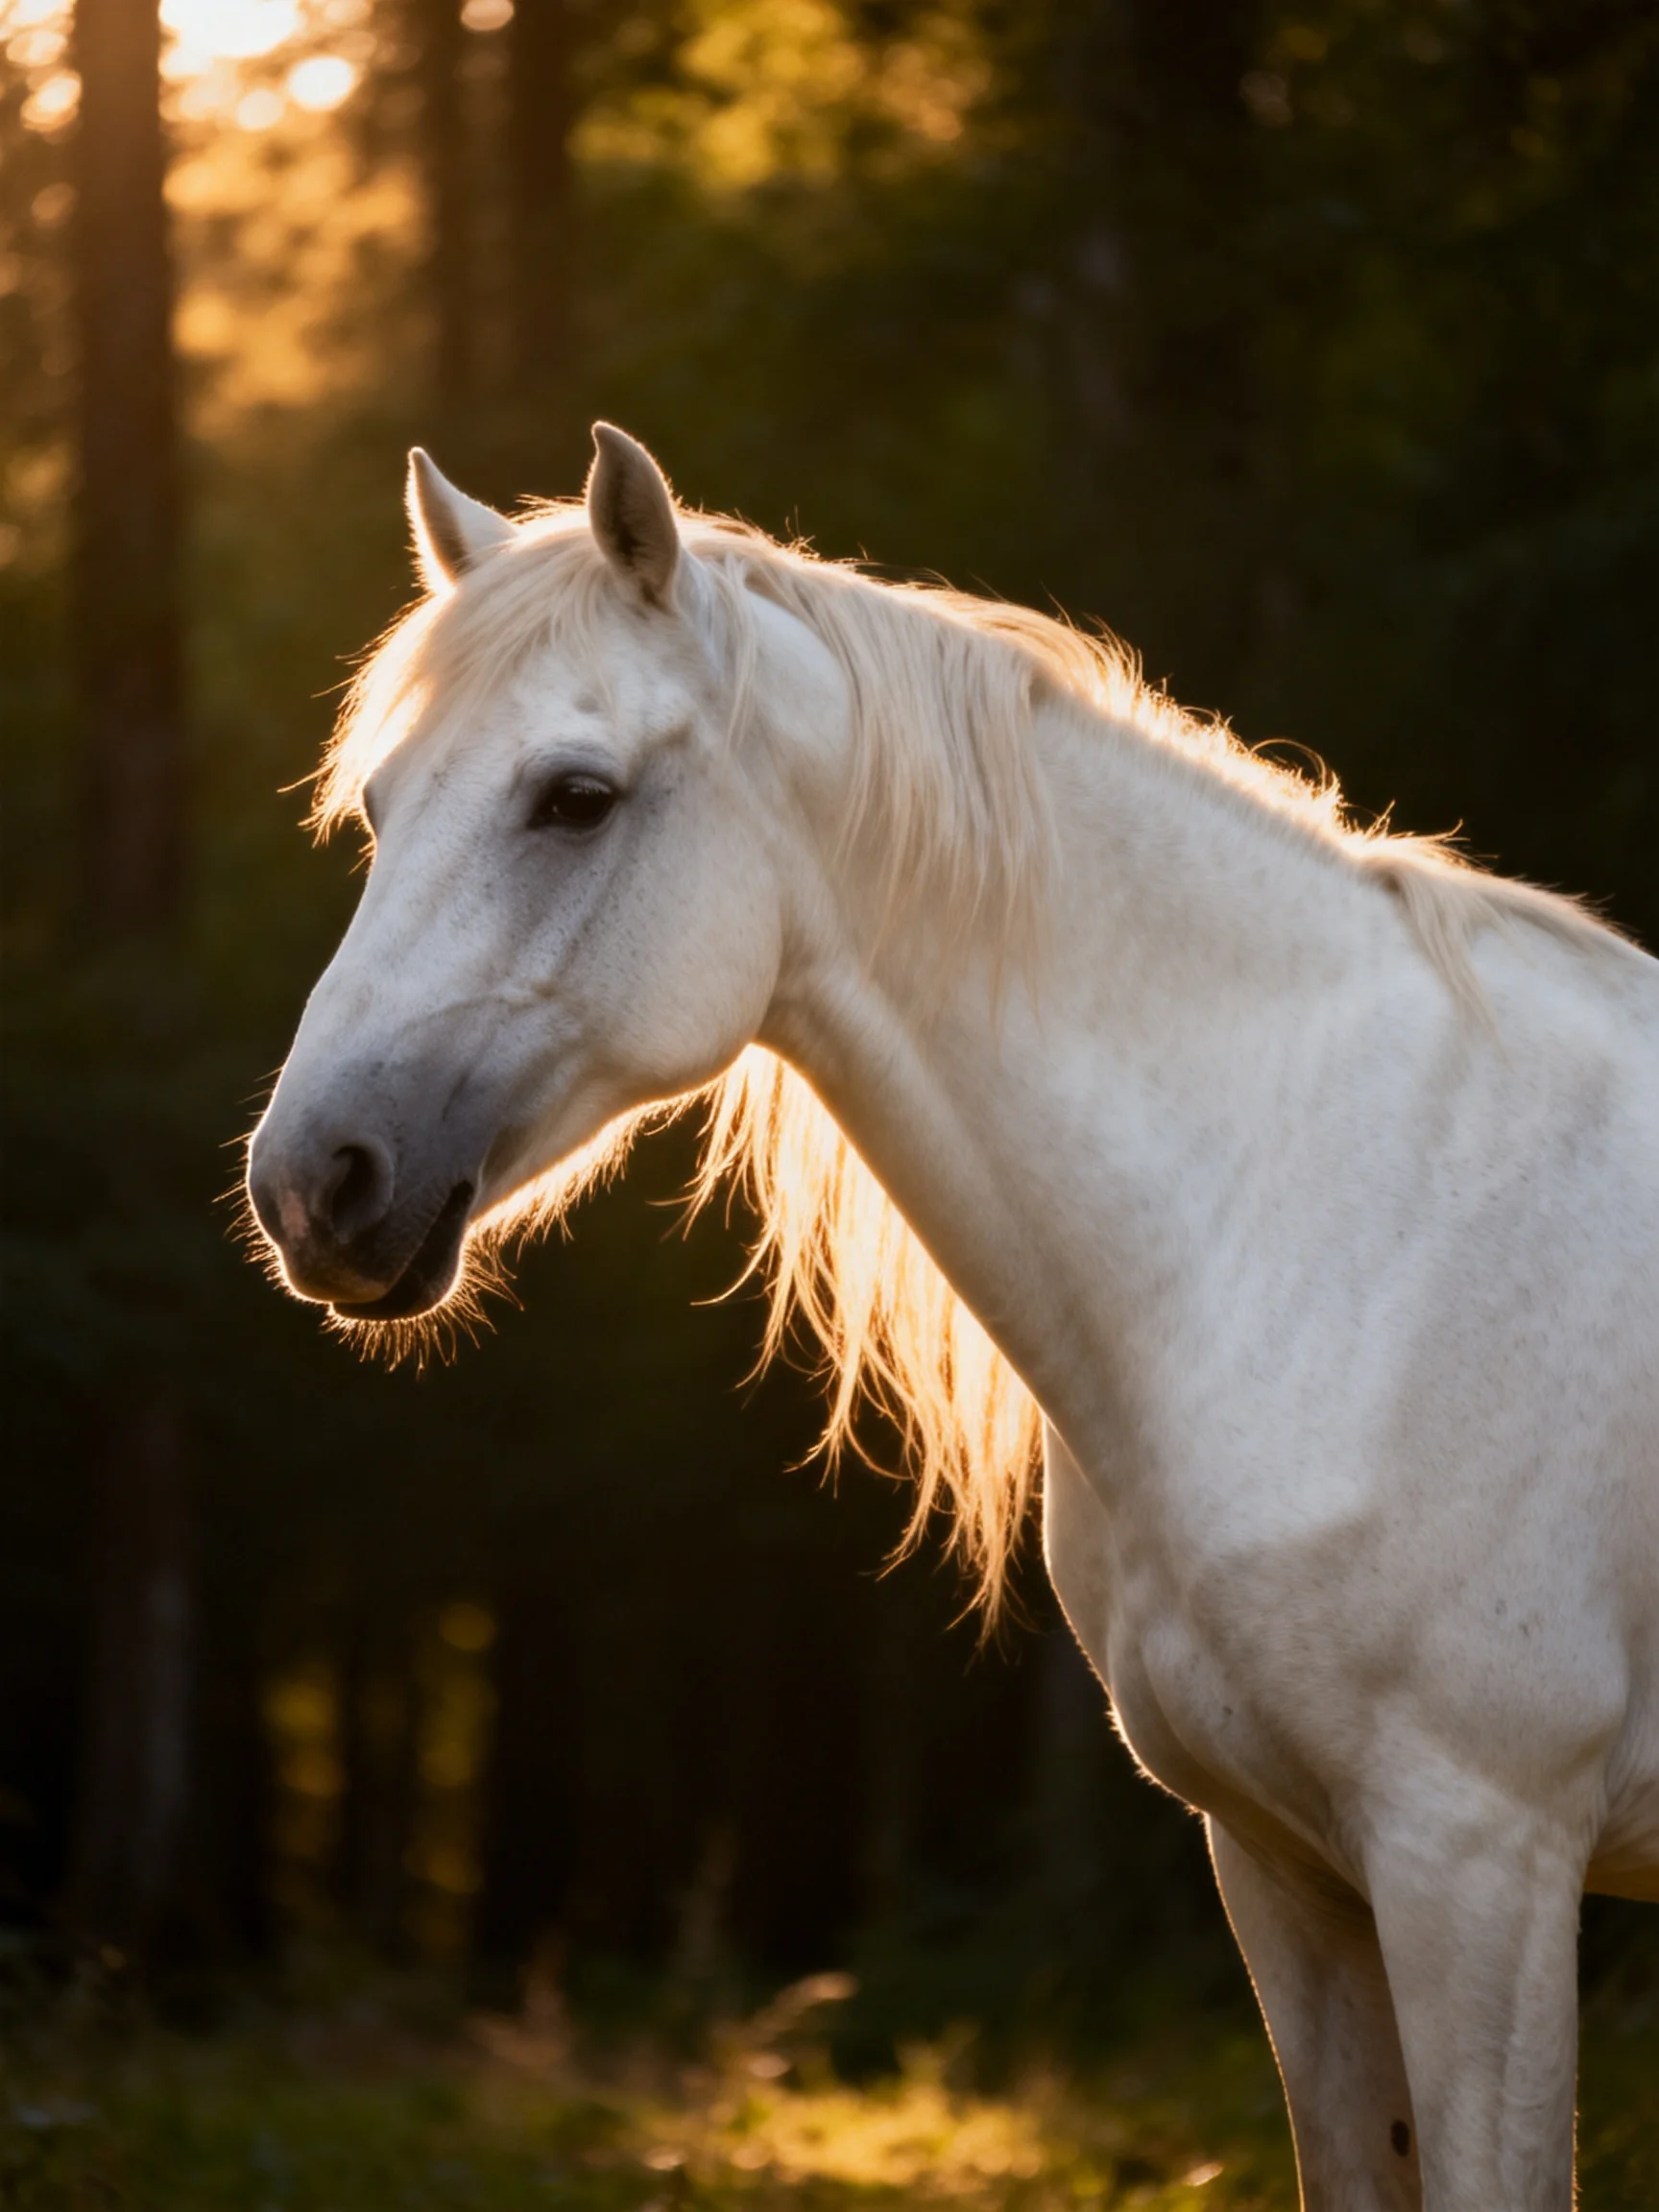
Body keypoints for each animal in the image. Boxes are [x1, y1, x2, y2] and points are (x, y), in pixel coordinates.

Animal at [246, 424, 1658, 2210]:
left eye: (574, 797)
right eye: (379, 803)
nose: (312, 1184)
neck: (1338, 1231)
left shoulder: (1478, 1859)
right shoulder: (1287, 1867)